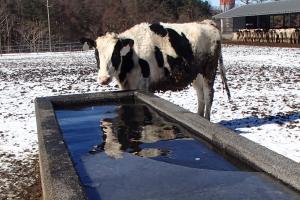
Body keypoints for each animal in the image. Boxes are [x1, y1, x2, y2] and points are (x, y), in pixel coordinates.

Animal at [81, 20, 231, 120]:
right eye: (96, 54)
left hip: (209, 70)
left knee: (208, 94)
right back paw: (199, 117)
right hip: (196, 73)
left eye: (116, 54)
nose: (103, 79)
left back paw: (206, 119)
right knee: (200, 95)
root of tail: (206, 23)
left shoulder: (143, 86)